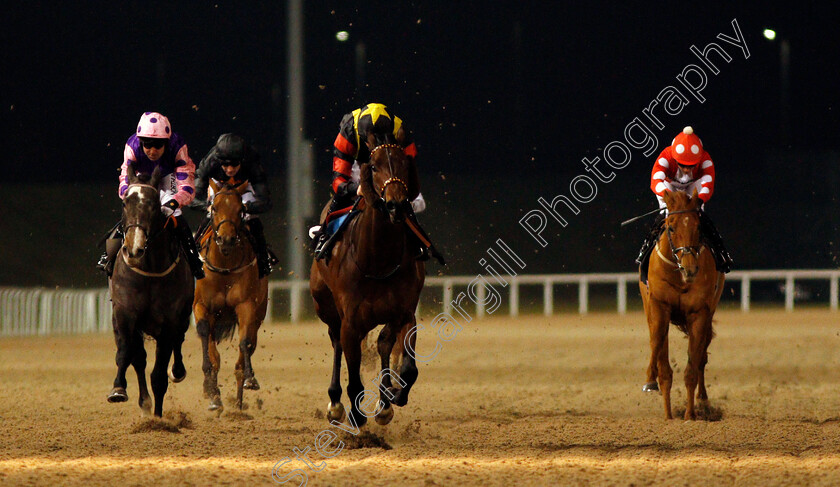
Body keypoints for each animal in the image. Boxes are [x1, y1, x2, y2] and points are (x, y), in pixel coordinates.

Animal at [106, 166, 194, 418]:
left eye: (154, 205)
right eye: (125, 203)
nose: (134, 249)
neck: (150, 269)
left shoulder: (168, 323)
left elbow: (159, 375)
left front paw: (157, 418)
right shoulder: (125, 314)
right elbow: (128, 354)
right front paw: (119, 389)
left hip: (183, 318)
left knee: (178, 344)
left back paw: (177, 372)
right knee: (138, 359)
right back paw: (143, 402)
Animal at [193, 179, 266, 412]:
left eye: (240, 209)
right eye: (214, 208)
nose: (226, 239)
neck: (225, 267)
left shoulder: (246, 307)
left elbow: (244, 344)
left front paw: (250, 378)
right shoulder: (201, 305)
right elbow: (205, 338)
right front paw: (210, 388)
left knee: (247, 348)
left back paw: (239, 404)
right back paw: (214, 395)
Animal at [310, 135, 426, 428]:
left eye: (405, 163)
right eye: (373, 166)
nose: (396, 204)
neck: (378, 260)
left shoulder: (405, 312)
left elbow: (407, 366)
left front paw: (392, 396)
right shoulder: (350, 322)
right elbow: (353, 376)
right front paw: (355, 413)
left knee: (383, 343)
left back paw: (384, 402)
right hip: (326, 307)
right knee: (337, 343)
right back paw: (335, 403)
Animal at [640, 191, 724, 420]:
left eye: (698, 227)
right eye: (671, 226)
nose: (690, 269)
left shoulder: (699, 313)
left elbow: (692, 367)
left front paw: (689, 415)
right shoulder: (659, 306)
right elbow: (658, 345)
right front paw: (666, 412)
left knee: (702, 357)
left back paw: (703, 402)